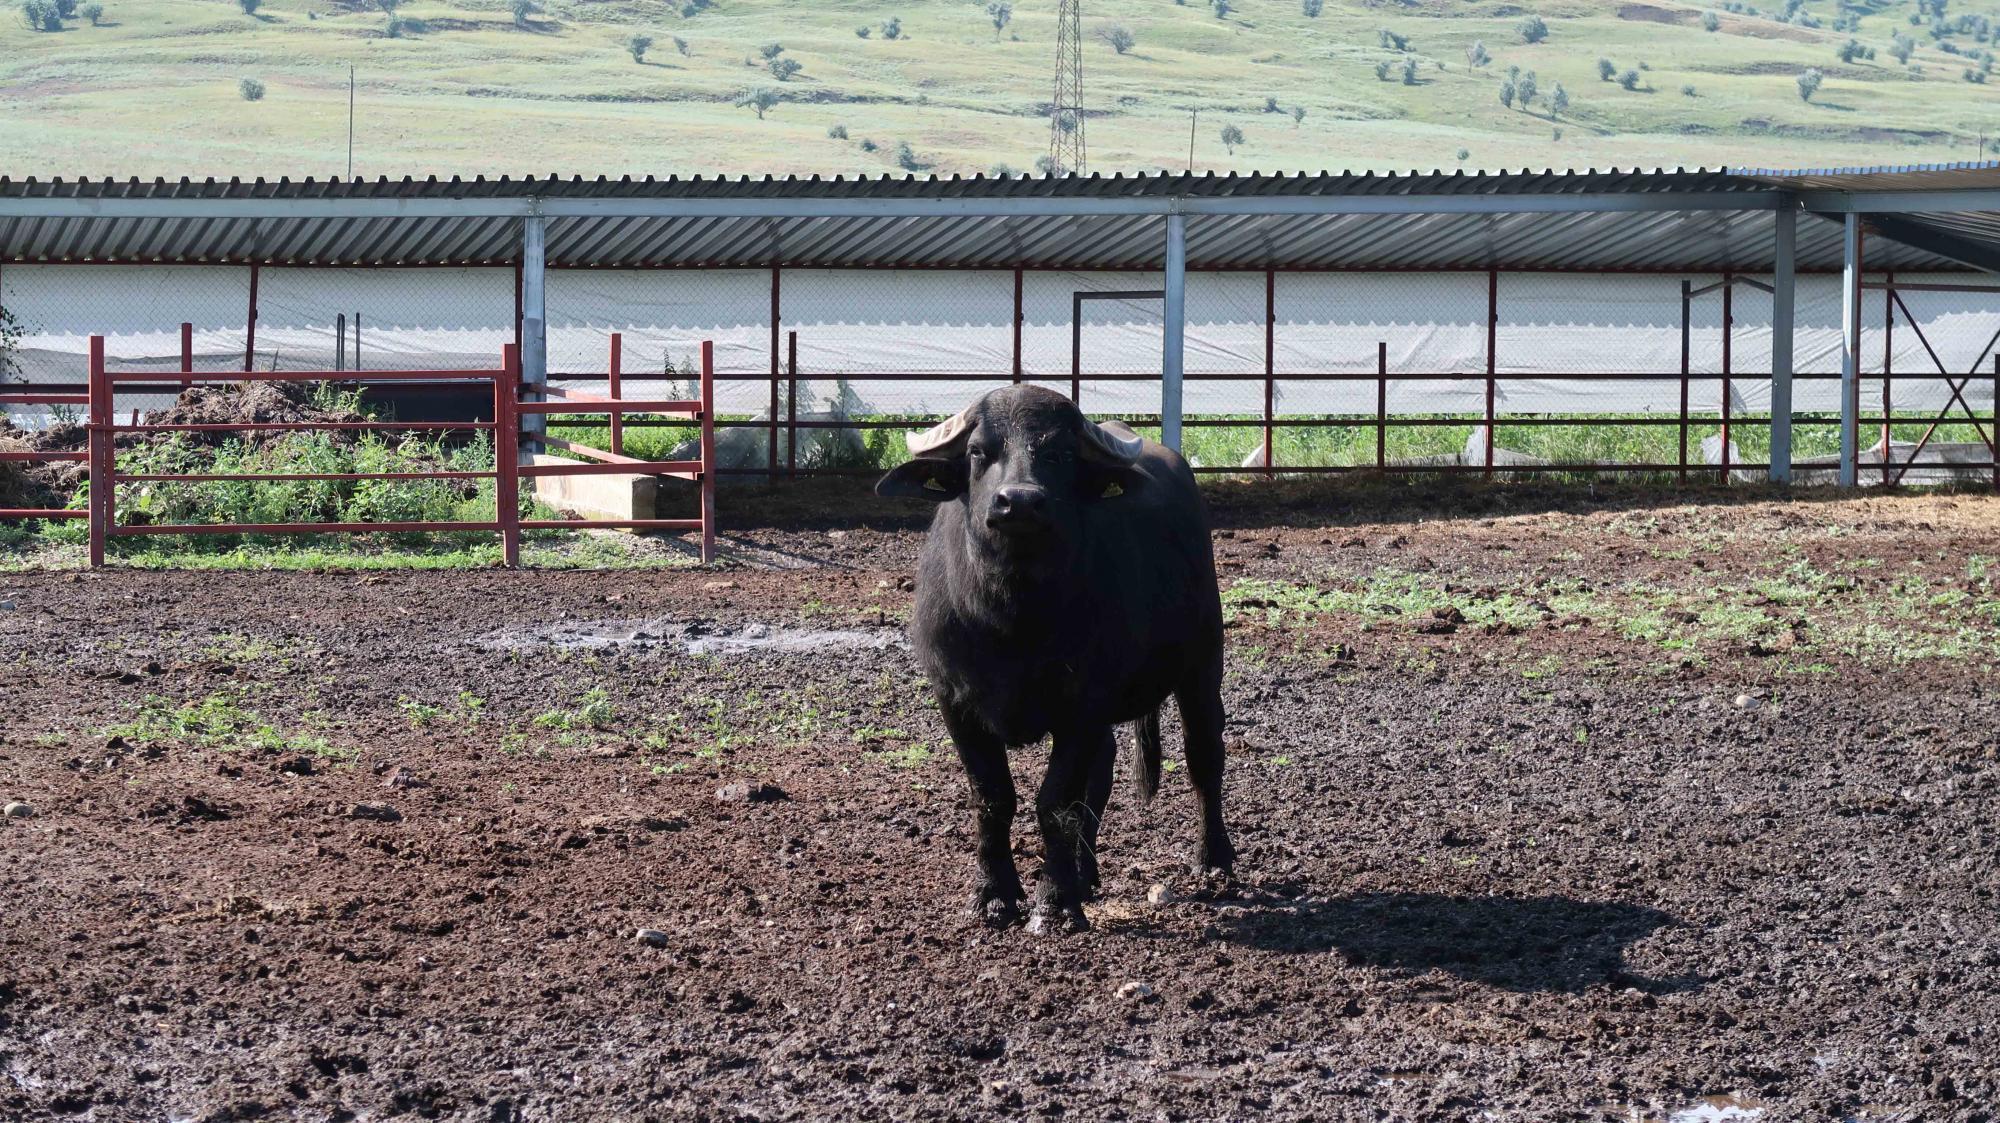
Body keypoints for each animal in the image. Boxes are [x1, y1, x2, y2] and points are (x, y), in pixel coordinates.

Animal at [880, 383, 1232, 927]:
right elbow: (993, 797)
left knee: (1204, 755)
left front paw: (1056, 900)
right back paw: (1086, 872)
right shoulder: (955, 701)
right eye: (978, 451)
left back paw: (1212, 857)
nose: (1019, 502)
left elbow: (1056, 802)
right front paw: (994, 894)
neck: (1014, 617)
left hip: (1202, 665)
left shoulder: (1081, 705)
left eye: (1062, 453)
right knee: (1103, 771)